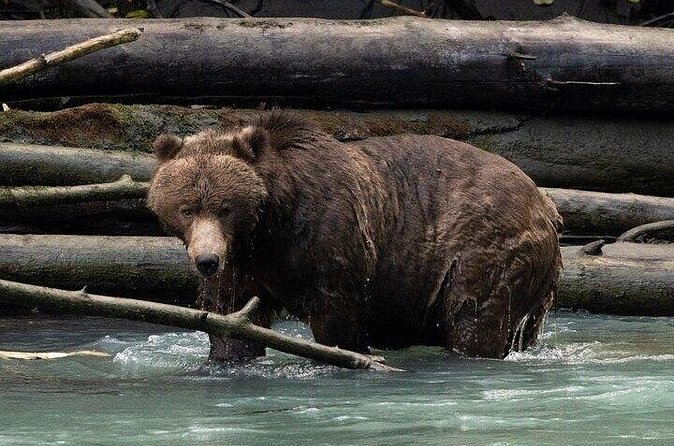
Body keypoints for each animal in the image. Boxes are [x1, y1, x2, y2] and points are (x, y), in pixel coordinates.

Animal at [147, 110, 562, 361]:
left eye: (224, 208)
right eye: (187, 208)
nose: (206, 260)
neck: (270, 225)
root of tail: (545, 203)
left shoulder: (329, 237)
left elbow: (337, 315)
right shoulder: (243, 260)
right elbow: (230, 314)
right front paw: (229, 354)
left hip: (483, 245)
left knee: (474, 315)